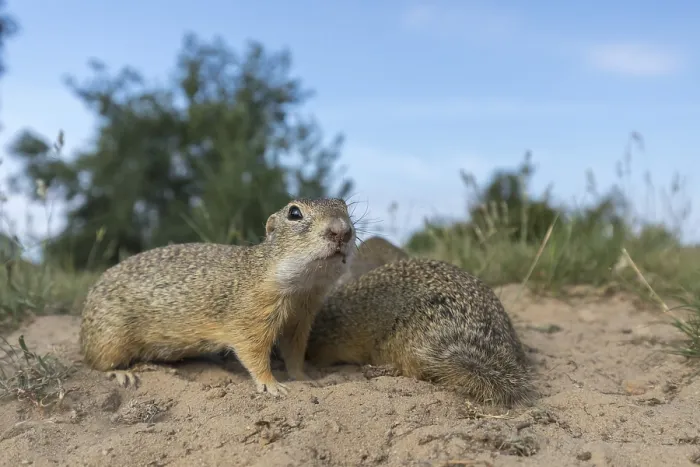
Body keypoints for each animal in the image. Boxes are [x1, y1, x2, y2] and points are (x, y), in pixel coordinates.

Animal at [79, 198, 356, 397]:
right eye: (294, 213)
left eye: (345, 207)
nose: (342, 231)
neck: (301, 289)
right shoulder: (250, 317)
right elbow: (254, 353)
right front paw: (271, 384)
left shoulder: (300, 320)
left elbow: (295, 353)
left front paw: (305, 378)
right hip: (110, 339)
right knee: (95, 363)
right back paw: (121, 374)